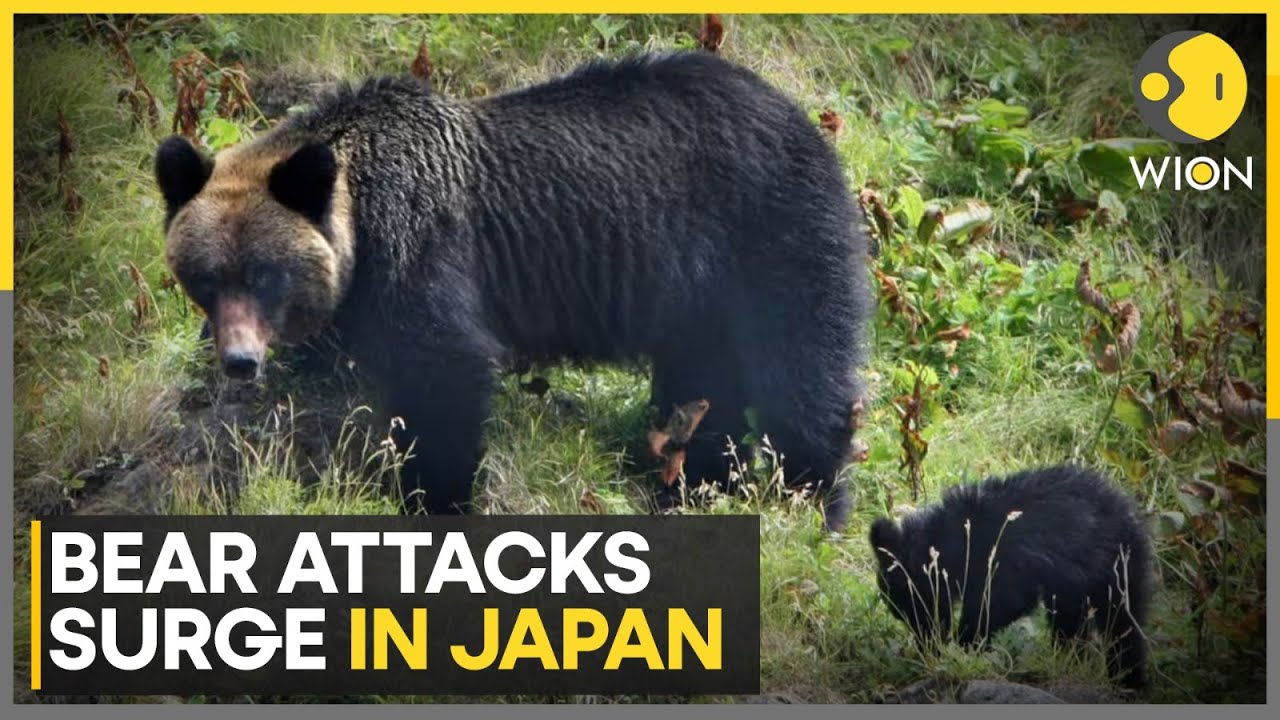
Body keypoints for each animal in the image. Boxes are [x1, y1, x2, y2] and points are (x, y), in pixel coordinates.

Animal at [154, 51, 870, 531]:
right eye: (207, 277)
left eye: (265, 274)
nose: (240, 361)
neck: (363, 218)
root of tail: (803, 115)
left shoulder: (425, 254)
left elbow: (446, 376)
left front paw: (432, 498)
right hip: (698, 299)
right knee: (701, 395)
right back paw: (690, 485)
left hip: (771, 235)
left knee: (800, 373)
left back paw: (812, 502)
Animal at [869, 465, 1152, 691]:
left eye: (914, 608)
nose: (927, 646)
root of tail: (1128, 514)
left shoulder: (1006, 559)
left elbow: (1004, 602)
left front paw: (963, 647)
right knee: (1097, 622)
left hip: (1110, 567)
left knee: (1118, 624)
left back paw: (1124, 679)